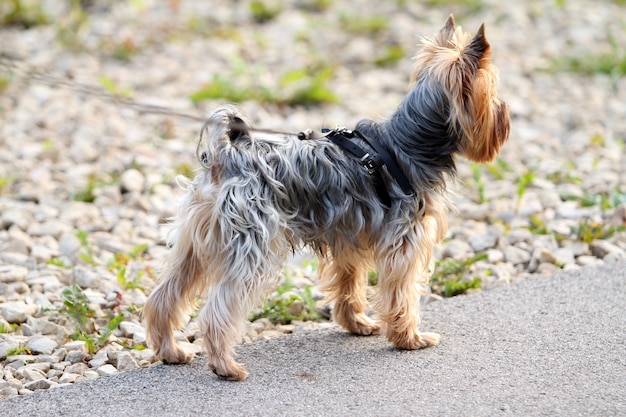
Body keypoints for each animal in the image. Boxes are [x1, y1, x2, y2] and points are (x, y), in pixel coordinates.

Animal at [145, 15, 508, 380]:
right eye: (492, 93)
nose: (505, 113)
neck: (410, 144)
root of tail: (227, 156)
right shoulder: (404, 243)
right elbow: (401, 295)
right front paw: (409, 338)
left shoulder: (349, 237)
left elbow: (349, 284)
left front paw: (357, 323)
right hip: (252, 245)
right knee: (217, 311)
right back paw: (225, 366)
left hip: (196, 242)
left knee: (164, 295)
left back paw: (171, 351)